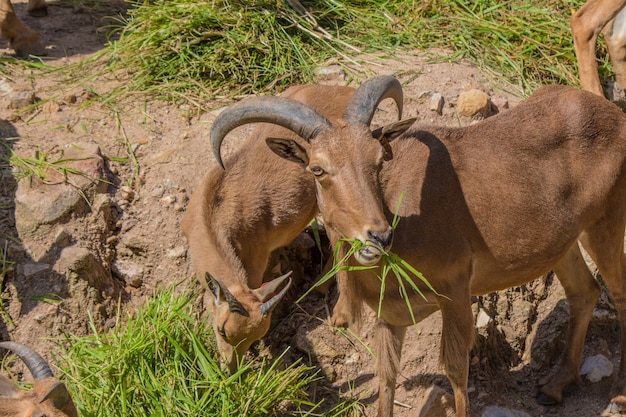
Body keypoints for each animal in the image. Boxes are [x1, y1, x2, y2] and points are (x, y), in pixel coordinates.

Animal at [211, 75, 626, 416]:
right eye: (317, 169)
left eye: (379, 160)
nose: (378, 236)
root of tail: (615, 116)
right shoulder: (390, 315)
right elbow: (388, 376)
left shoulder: (456, 293)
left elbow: (456, 370)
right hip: (565, 244)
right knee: (584, 292)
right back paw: (555, 386)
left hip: (605, 223)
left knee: (618, 293)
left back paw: (618, 393)